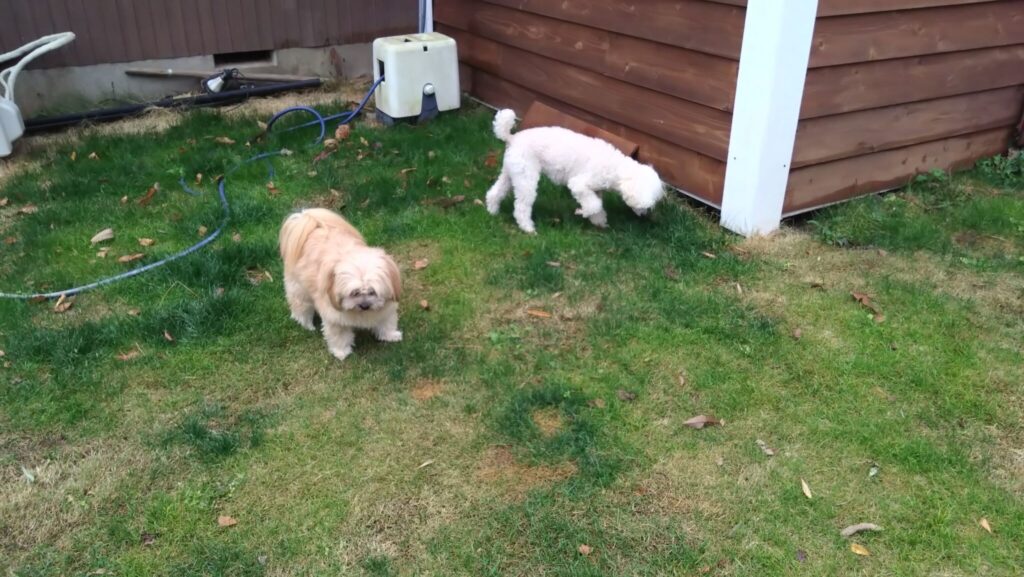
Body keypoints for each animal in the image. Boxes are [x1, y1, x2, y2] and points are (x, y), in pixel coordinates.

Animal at [279, 208, 402, 361]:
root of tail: (307, 218)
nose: (364, 306)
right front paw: (341, 352)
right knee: (301, 307)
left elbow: (386, 323)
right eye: (354, 293)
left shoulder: (386, 308)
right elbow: (339, 337)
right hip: (298, 289)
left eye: (372, 291)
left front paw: (390, 336)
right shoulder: (335, 318)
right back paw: (307, 325)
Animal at [485, 109, 665, 234]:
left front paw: (600, 222)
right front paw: (581, 212)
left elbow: (598, 207)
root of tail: (512, 137)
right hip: (526, 178)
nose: (645, 214)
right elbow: (594, 205)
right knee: (521, 206)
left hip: (512, 173)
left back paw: (492, 211)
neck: (616, 168)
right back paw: (528, 228)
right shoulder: (579, 184)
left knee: (495, 193)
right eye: (647, 204)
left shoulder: (595, 190)